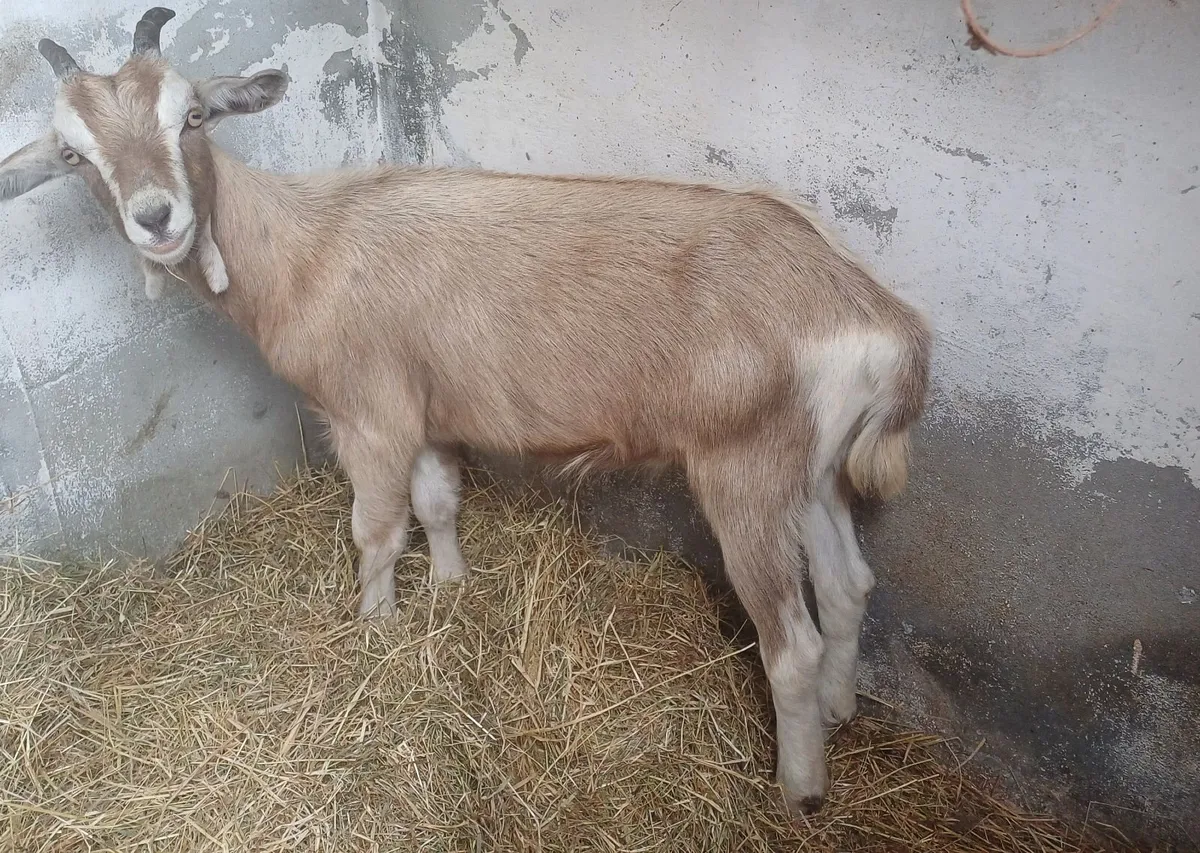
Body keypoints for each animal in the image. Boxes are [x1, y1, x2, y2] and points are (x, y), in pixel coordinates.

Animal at [0, 8, 933, 817]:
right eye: (75, 154)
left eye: (191, 115)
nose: (157, 218)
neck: (307, 251)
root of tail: (881, 322)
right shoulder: (426, 409)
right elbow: (438, 502)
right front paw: (450, 590)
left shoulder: (370, 414)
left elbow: (376, 531)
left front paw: (376, 628)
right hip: (811, 469)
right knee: (848, 584)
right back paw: (843, 709)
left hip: (745, 464)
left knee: (792, 643)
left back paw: (799, 788)